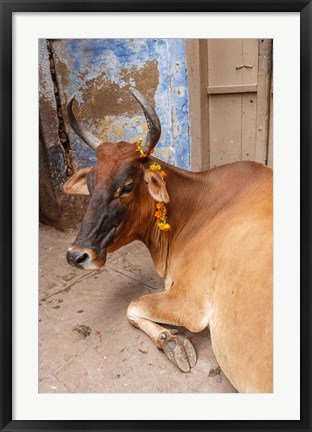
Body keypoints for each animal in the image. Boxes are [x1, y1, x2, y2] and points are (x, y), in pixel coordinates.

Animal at [64, 87, 272, 392]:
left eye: (127, 186)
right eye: (90, 184)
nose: (76, 255)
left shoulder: (189, 302)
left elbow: (133, 306)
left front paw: (172, 341)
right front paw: (170, 339)